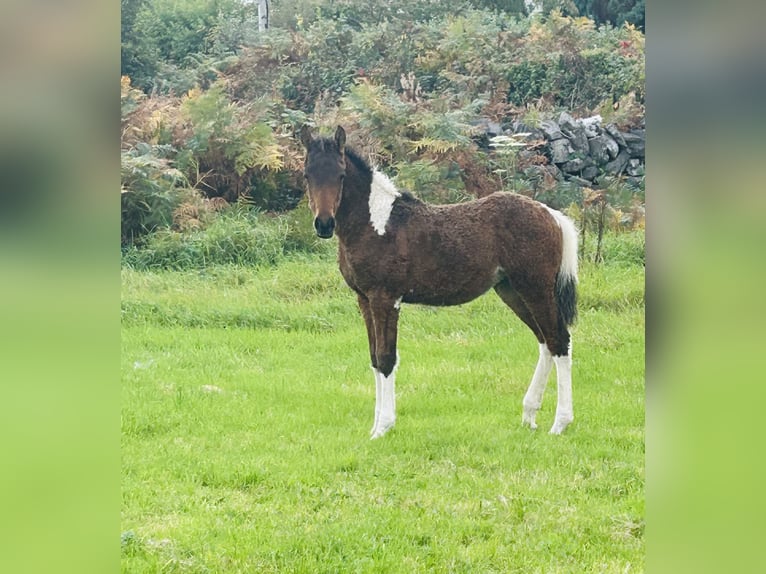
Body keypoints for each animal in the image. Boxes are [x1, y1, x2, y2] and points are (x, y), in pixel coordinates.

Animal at [300, 125, 579, 439]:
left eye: (341, 174)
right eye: (307, 175)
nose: (324, 224)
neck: (376, 224)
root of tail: (551, 214)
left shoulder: (386, 299)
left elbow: (386, 358)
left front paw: (383, 427)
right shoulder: (364, 299)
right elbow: (374, 358)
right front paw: (374, 426)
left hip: (536, 288)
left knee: (559, 340)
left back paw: (560, 423)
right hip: (512, 292)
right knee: (545, 341)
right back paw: (529, 415)